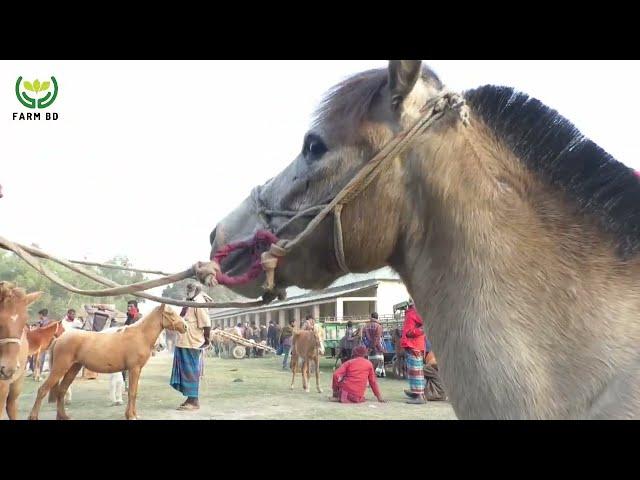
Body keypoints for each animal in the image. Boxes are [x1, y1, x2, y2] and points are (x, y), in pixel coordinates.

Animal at [28, 304, 186, 420]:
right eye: (170, 313)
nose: (185, 327)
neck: (140, 335)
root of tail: (60, 338)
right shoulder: (134, 369)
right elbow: (132, 392)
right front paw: (131, 416)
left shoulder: (136, 370)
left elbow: (133, 392)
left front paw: (133, 414)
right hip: (60, 368)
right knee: (42, 390)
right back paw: (34, 416)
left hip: (73, 368)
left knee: (62, 390)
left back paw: (64, 416)